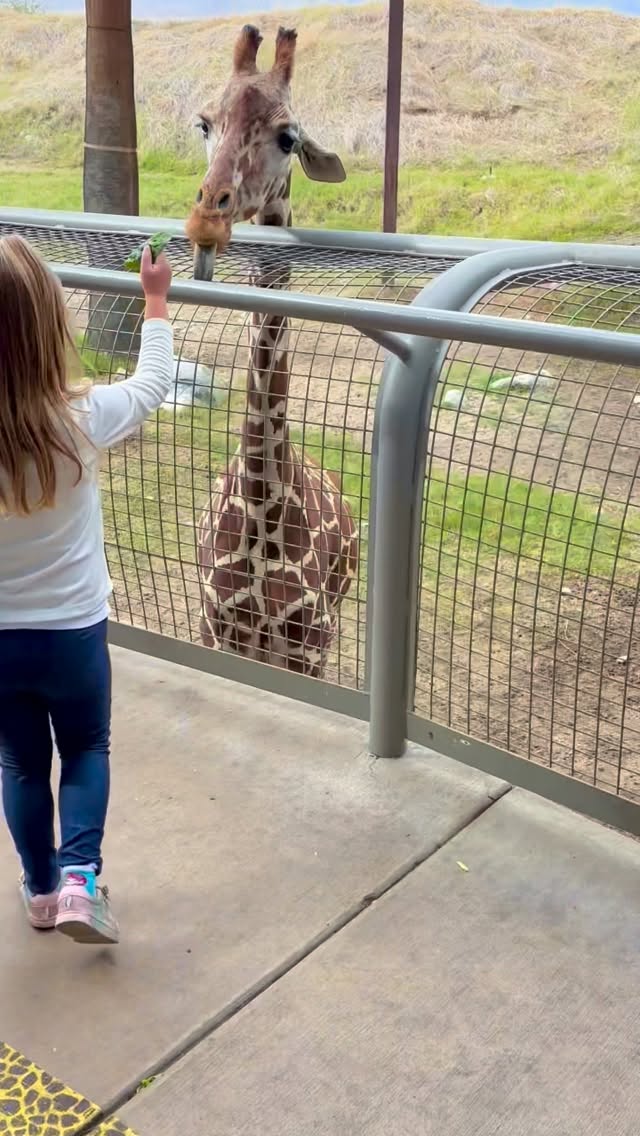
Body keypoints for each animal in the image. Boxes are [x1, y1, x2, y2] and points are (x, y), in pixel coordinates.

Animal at [185, 25, 359, 677]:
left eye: (289, 138)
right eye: (204, 124)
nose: (210, 209)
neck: (264, 507)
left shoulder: (309, 641)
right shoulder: (216, 626)